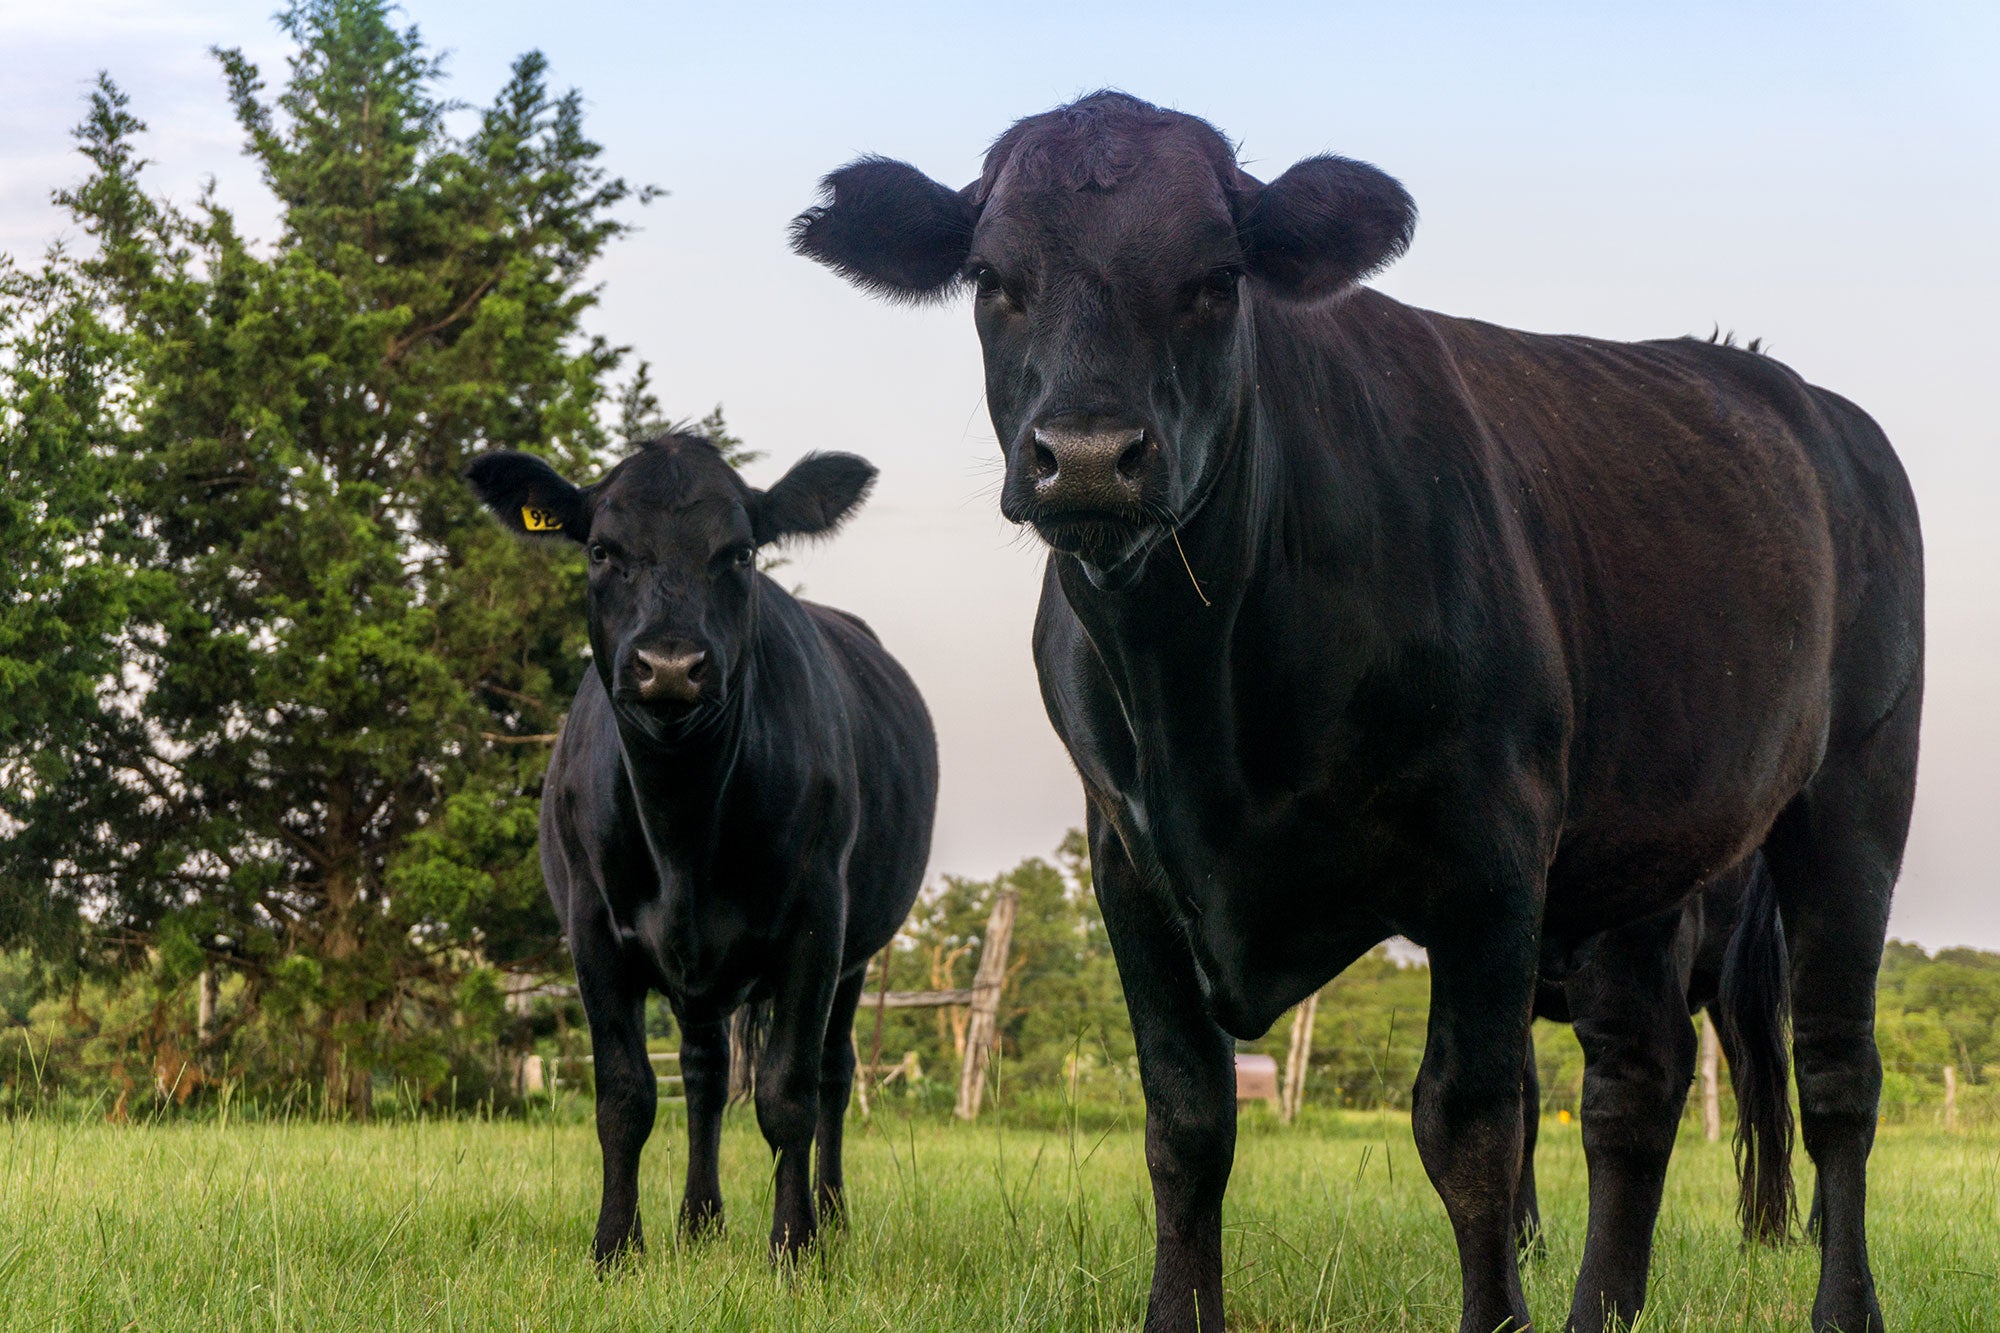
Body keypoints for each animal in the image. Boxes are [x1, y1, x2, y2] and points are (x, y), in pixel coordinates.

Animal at [468, 440, 936, 1264]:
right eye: (601, 549)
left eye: (740, 552)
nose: (669, 664)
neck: (681, 825)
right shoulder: (592, 930)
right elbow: (625, 1096)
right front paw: (615, 1249)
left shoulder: (819, 922)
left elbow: (788, 1094)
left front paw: (794, 1250)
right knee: (705, 1072)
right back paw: (699, 1220)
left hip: (858, 953)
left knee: (835, 1071)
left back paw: (831, 1214)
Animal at [792, 88, 1920, 1320]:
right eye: (993, 277)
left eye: (1216, 277)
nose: (1086, 456)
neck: (1204, 695)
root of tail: (1810, 405)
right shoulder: (1126, 862)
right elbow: (1184, 1119)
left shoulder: (1490, 853)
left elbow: (1473, 1125)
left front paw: (1497, 1315)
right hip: (1648, 851)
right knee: (1636, 1081)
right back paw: (1602, 1310)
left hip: (1857, 792)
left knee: (1832, 1072)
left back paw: (1842, 1305)